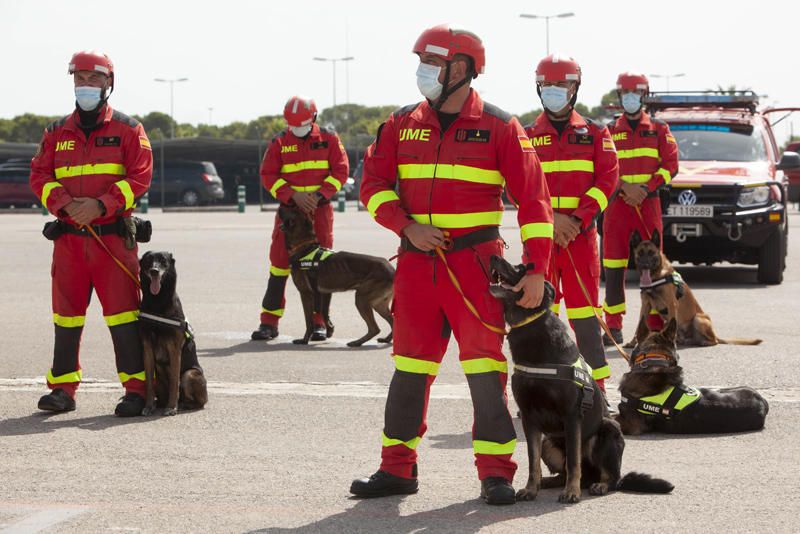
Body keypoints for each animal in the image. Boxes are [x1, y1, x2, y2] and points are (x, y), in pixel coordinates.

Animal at [141, 252, 209, 418]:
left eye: (163, 261)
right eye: (148, 260)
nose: (154, 271)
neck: (157, 303)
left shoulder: (174, 350)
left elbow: (174, 383)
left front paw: (172, 407)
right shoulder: (147, 349)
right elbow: (148, 383)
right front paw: (148, 406)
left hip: (189, 375)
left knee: (196, 401)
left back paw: (182, 405)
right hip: (159, 378)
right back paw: (159, 403)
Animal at [280, 205, 396, 348]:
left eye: (293, 209)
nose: (280, 207)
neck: (304, 246)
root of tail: (392, 271)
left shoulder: (306, 294)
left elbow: (309, 320)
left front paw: (304, 340)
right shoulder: (323, 293)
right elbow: (323, 312)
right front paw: (329, 329)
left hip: (361, 299)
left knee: (375, 328)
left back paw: (357, 342)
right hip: (378, 304)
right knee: (392, 322)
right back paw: (386, 339)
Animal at [490, 258, 672, 504]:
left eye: (521, 268)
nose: (494, 258)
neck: (532, 327)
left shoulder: (571, 416)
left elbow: (574, 461)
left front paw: (571, 492)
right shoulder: (529, 418)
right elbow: (532, 461)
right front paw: (531, 488)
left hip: (609, 429)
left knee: (610, 477)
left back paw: (598, 485)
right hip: (549, 441)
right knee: (564, 472)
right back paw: (548, 483)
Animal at [624, 229, 764, 348]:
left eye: (651, 253)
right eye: (640, 253)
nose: (645, 265)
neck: (655, 276)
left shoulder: (671, 304)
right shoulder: (645, 305)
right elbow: (639, 326)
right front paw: (632, 343)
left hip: (698, 319)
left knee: (714, 341)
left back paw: (702, 342)